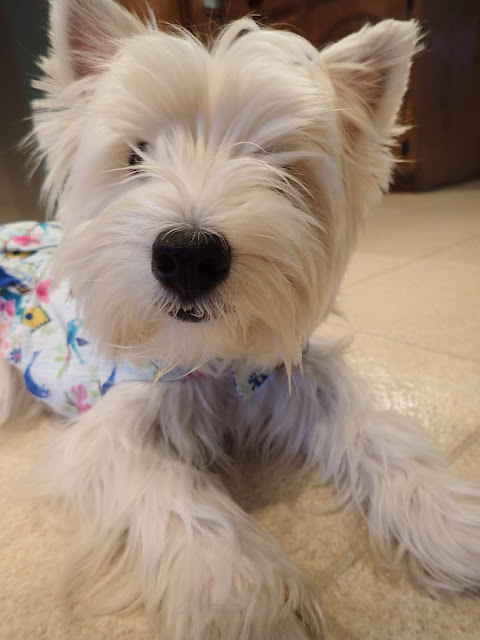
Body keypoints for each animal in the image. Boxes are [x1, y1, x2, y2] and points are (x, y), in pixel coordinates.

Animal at [1, 0, 480, 638]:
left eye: (278, 165)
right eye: (135, 157)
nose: (188, 256)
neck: (212, 357)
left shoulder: (295, 376)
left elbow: (379, 434)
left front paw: (452, 522)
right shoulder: (110, 434)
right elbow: (177, 495)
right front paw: (244, 597)